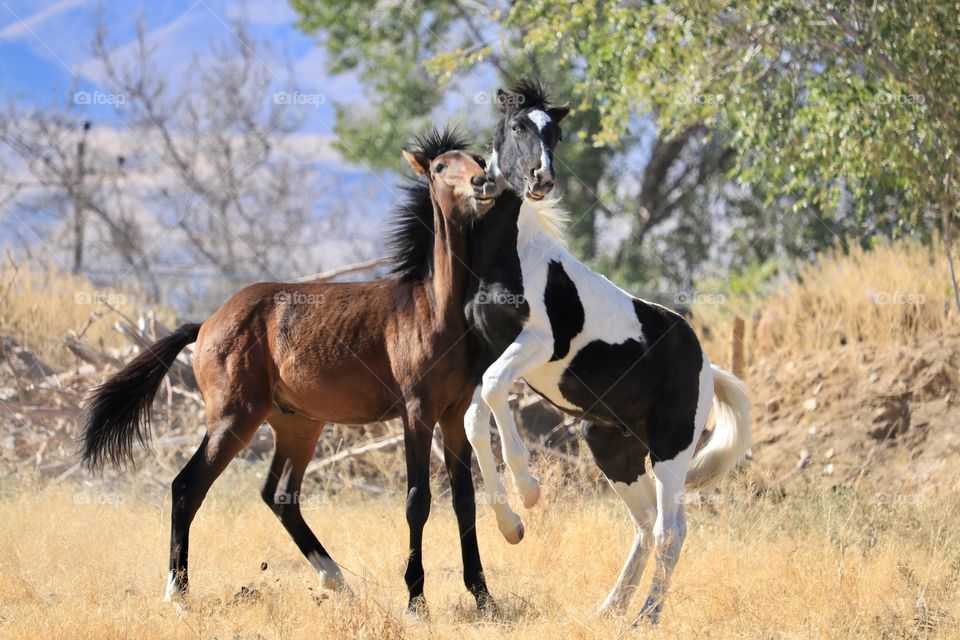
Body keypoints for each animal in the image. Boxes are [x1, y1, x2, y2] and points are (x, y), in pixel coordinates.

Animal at [79, 131, 498, 616]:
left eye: (478, 158)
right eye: (440, 167)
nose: (483, 182)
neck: (434, 310)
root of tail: (205, 324)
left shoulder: (453, 414)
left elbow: (465, 500)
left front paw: (485, 597)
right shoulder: (417, 413)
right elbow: (418, 500)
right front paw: (415, 601)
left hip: (298, 424)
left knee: (279, 495)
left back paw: (335, 579)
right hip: (234, 417)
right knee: (187, 486)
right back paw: (177, 593)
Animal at [462, 77, 752, 624]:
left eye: (554, 134)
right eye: (518, 126)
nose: (541, 179)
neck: (513, 256)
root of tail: (708, 365)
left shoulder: (537, 344)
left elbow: (491, 392)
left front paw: (529, 491)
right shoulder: (489, 352)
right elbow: (474, 417)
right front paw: (511, 525)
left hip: (670, 449)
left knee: (670, 530)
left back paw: (647, 617)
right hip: (612, 447)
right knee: (644, 526)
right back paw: (611, 610)